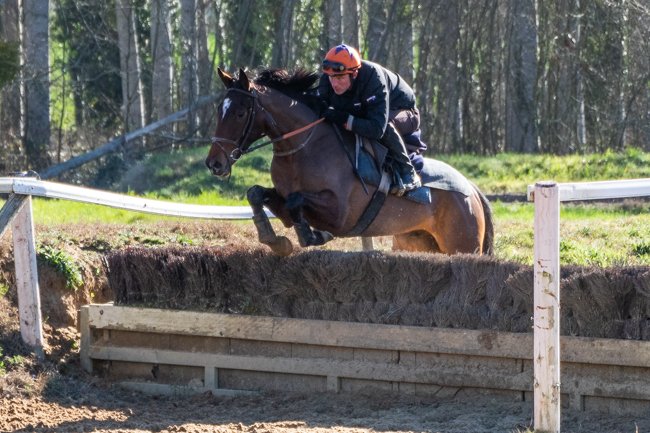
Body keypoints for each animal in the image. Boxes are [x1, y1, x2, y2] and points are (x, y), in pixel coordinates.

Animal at [206, 68, 494, 257]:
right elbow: (257, 193)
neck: (303, 146)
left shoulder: (341, 214)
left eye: (240, 113)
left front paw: (312, 235)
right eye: (219, 109)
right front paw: (274, 239)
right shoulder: (283, 196)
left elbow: (296, 201)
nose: (214, 163)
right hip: (419, 242)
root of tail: (472, 189)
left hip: (463, 244)